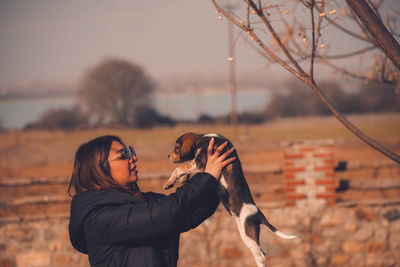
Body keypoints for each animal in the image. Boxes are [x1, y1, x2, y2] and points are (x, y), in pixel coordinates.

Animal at [164, 133, 296, 266]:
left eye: (177, 148)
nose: (168, 156)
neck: (203, 139)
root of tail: (258, 213)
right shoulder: (198, 165)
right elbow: (185, 169)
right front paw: (179, 180)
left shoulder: (199, 163)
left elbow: (179, 168)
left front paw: (169, 182)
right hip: (245, 234)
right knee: (262, 252)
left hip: (248, 234)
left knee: (260, 256)